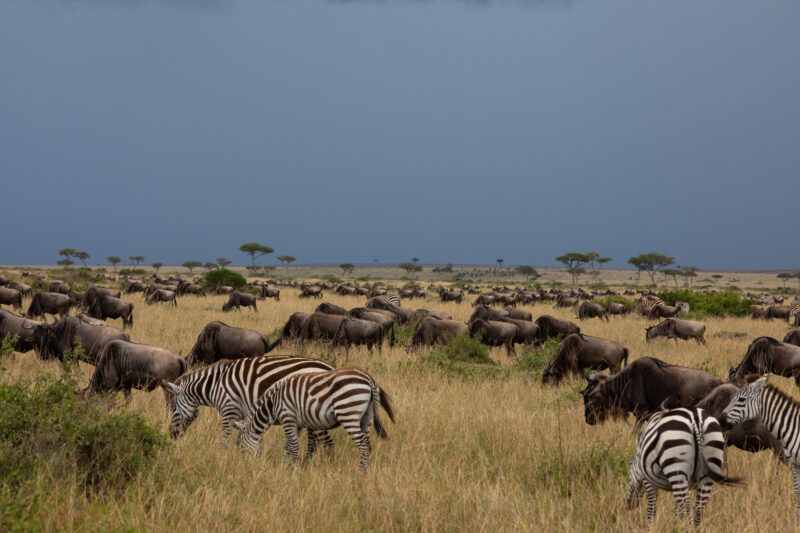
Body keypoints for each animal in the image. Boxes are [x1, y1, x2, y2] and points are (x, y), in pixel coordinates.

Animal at [161, 355, 334, 443]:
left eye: (173, 409)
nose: (172, 435)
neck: (215, 385)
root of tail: (329, 367)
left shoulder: (229, 410)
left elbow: (225, 437)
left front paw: (224, 458)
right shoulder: (245, 414)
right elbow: (241, 436)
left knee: (326, 441)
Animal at [235, 367, 395, 470]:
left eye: (240, 445)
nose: (243, 465)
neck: (274, 403)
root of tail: (369, 379)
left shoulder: (288, 418)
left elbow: (293, 447)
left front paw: (295, 469)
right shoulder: (296, 424)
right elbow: (287, 447)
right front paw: (285, 468)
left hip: (348, 412)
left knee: (362, 444)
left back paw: (360, 472)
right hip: (366, 416)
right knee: (367, 444)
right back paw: (365, 471)